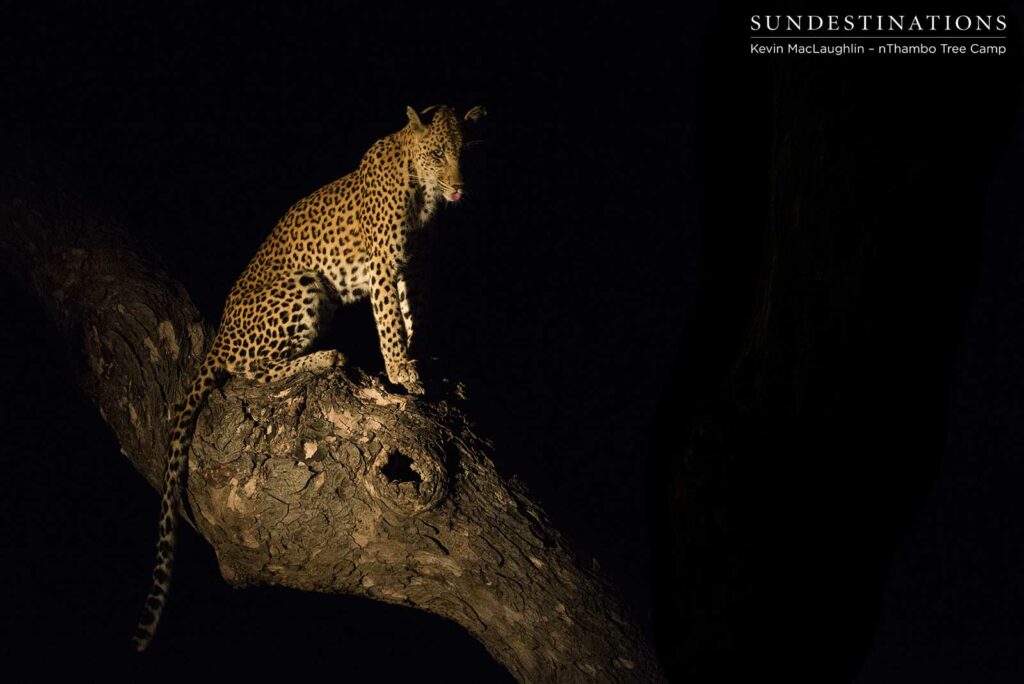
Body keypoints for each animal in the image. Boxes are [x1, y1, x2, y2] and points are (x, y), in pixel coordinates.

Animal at [132, 104, 486, 651]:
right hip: (304, 285)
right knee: (250, 372)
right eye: (437, 154)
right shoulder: (383, 265)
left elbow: (415, 318)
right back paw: (324, 359)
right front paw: (401, 373)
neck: (423, 192)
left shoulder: (416, 267)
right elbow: (390, 324)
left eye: (466, 151)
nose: (460, 185)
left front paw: (427, 365)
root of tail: (218, 338)